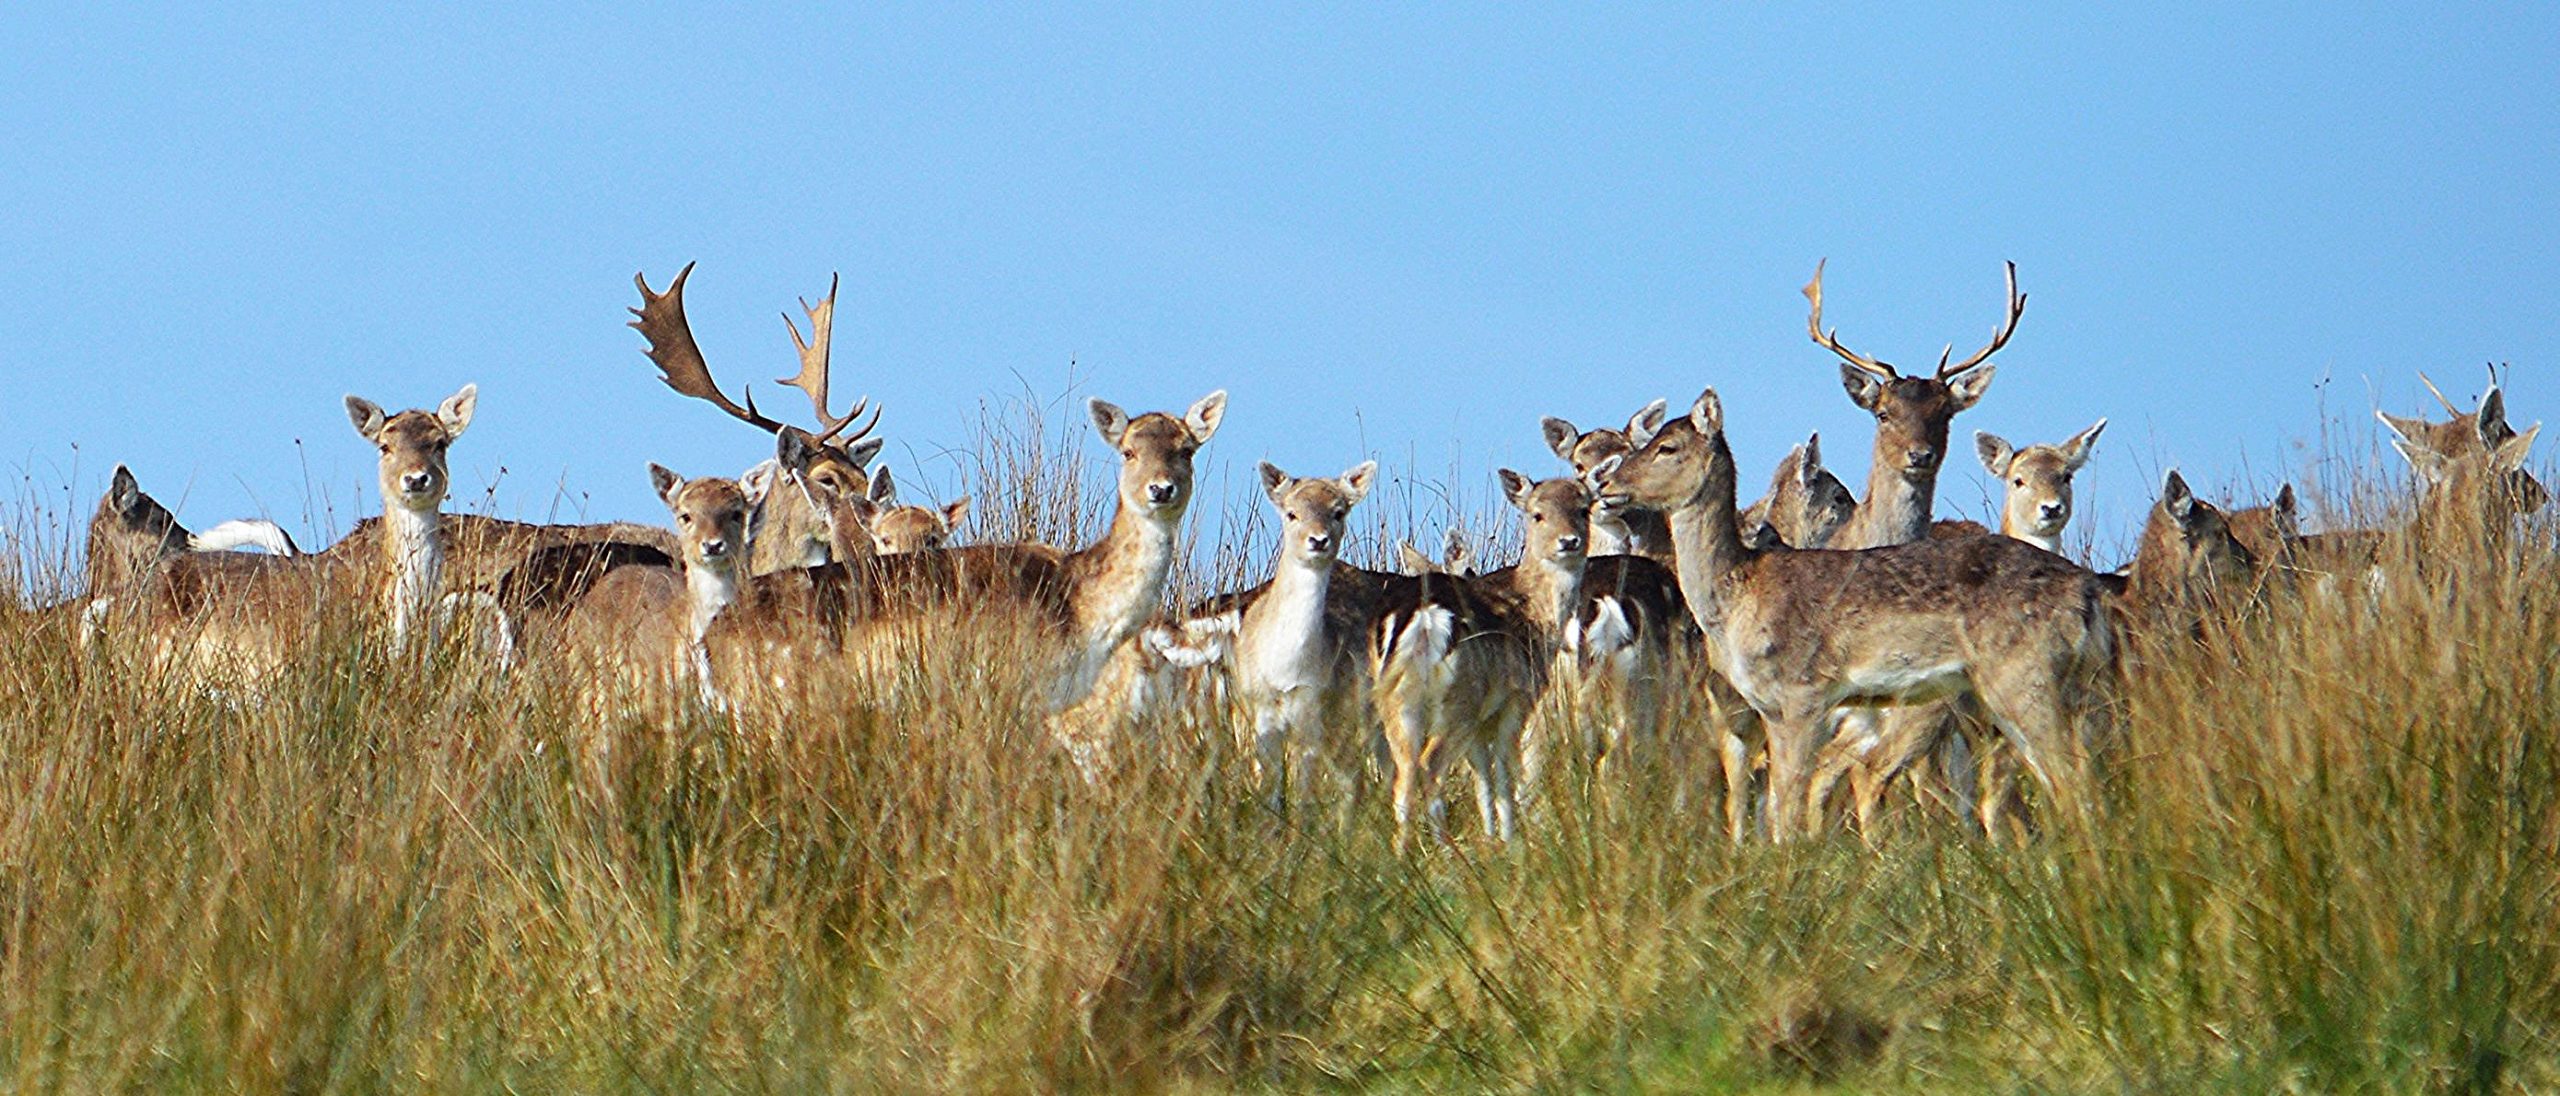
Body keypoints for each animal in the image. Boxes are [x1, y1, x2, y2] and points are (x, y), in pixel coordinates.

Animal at [1372, 471, 1587, 850]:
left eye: (1584, 509)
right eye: (1537, 514)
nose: (1569, 541)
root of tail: (1420, 619)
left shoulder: (1481, 724)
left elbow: (1482, 778)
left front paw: (1493, 839)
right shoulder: (1516, 701)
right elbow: (1503, 772)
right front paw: (1510, 841)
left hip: (1396, 701)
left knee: (1404, 774)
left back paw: (1402, 854)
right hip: (1460, 700)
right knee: (1430, 765)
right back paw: (1446, 850)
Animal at [1597, 386, 2119, 839]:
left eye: (1667, 447)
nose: (1606, 481)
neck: (1736, 598)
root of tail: (2087, 592)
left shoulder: (1804, 694)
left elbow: (1788, 809)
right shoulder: (1770, 710)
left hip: (2025, 676)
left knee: (2074, 783)